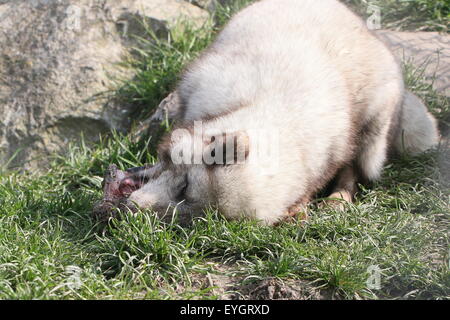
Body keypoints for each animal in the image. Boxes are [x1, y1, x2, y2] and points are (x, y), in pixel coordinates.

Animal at [119, 0, 440, 225]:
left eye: (194, 216)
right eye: (184, 187)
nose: (133, 208)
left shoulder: (331, 153)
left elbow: (321, 180)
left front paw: (302, 207)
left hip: (373, 132)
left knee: (356, 170)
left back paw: (338, 199)